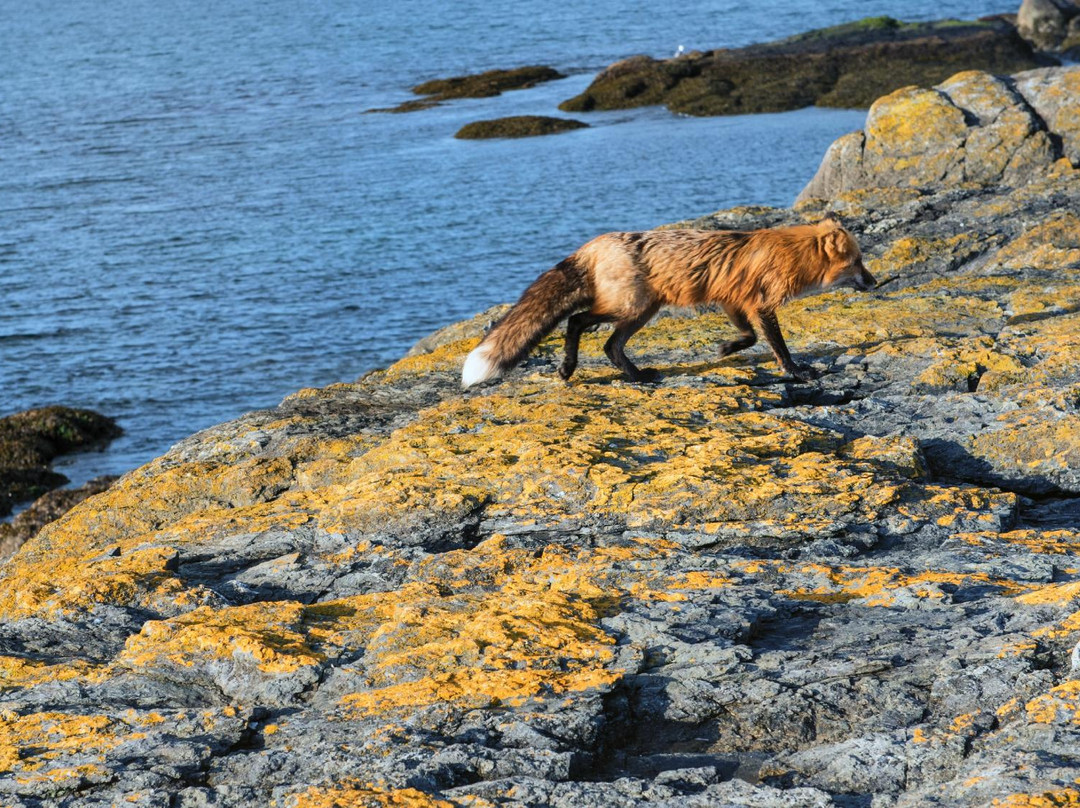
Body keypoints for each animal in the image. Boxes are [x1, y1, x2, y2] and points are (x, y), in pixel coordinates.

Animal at [460, 214, 872, 388]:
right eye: (857, 262)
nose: (874, 281)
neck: (792, 253)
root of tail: (594, 244)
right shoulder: (761, 305)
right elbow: (778, 347)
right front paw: (798, 372)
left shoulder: (733, 301)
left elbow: (750, 336)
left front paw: (726, 348)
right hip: (631, 307)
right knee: (577, 321)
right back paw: (569, 368)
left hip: (642, 312)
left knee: (610, 346)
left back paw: (637, 376)